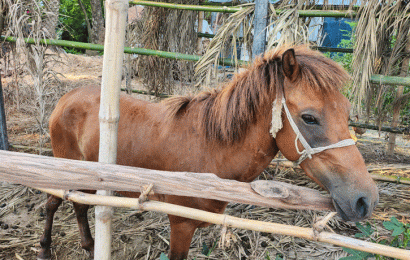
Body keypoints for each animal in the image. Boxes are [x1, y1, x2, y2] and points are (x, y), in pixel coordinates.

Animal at [37, 46, 378, 260]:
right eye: (309, 118)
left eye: (346, 111)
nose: (365, 200)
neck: (210, 150)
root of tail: (66, 97)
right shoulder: (180, 225)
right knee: (55, 202)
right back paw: (44, 248)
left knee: (78, 204)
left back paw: (88, 246)